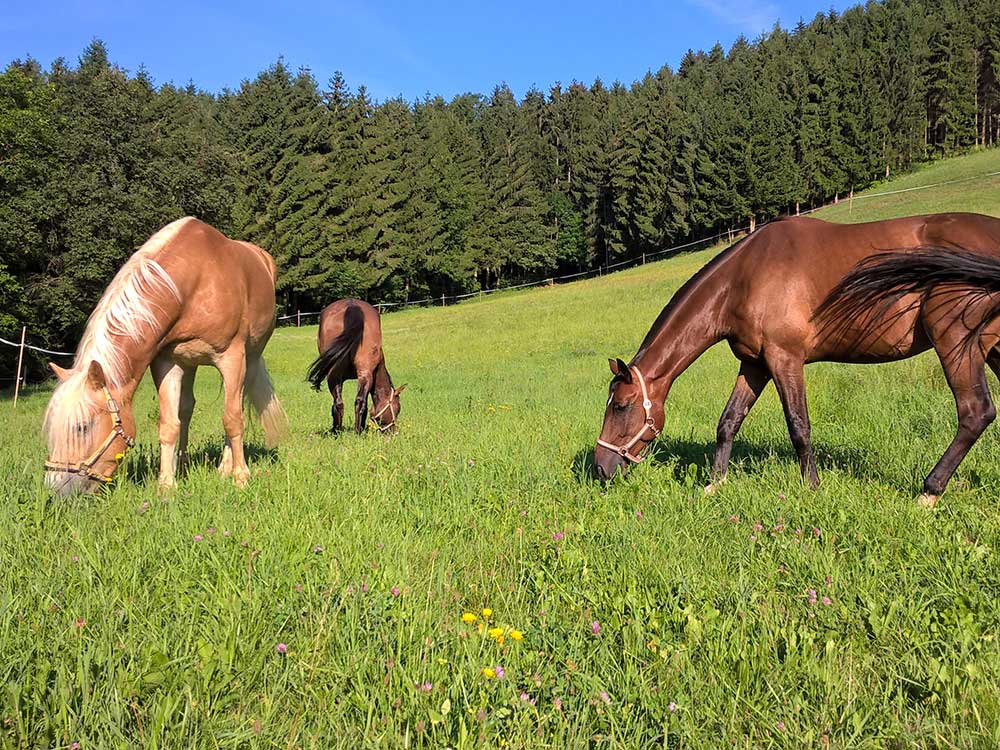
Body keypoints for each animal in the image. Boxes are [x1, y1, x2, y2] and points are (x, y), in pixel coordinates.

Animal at [43, 217, 286, 496]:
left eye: (82, 426)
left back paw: (225, 467)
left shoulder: (232, 357)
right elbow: (169, 424)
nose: (55, 489)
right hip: (190, 363)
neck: (194, 281)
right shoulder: (167, 362)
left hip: (250, 359)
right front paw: (167, 485)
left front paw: (240, 477)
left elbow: (233, 418)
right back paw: (183, 464)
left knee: (235, 404)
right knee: (187, 408)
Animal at [304, 296, 402, 432]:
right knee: (357, 401)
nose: (393, 432)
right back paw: (355, 431)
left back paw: (340, 431)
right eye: (397, 409)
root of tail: (352, 307)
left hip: (335, 374)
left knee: (340, 402)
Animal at [592, 212, 1000, 508]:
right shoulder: (754, 365)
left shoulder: (784, 360)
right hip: (993, 346)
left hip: (955, 340)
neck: (743, 278)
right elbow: (728, 422)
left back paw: (929, 491)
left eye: (621, 406)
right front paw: (715, 484)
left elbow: (799, 426)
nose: (600, 467)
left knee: (975, 412)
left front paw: (812, 486)